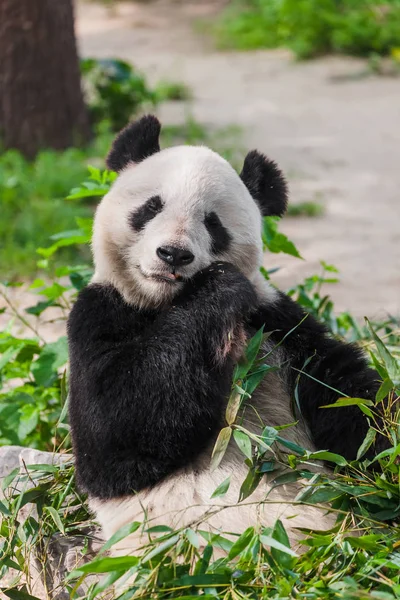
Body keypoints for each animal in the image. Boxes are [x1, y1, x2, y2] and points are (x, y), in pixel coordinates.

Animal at [68, 115, 388, 556]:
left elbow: (350, 400)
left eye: (213, 223)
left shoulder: (278, 325)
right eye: (152, 207)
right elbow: (113, 433)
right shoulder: (100, 312)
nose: (173, 254)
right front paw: (218, 289)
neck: (166, 304)